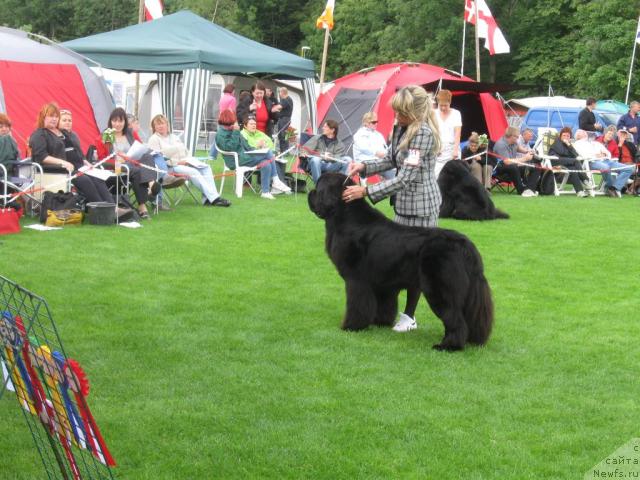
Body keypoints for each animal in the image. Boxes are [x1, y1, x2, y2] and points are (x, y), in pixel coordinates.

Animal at [308, 171, 496, 350]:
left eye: (318, 187)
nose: (310, 192)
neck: (344, 216)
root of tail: (466, 246)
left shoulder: (356, 280)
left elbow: (357, 305)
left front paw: (351, 326)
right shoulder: (383, 282)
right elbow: (385, 304)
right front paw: (380, 322)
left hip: (440, 288)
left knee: (455, 318)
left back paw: (448, 346)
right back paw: (473, 340)